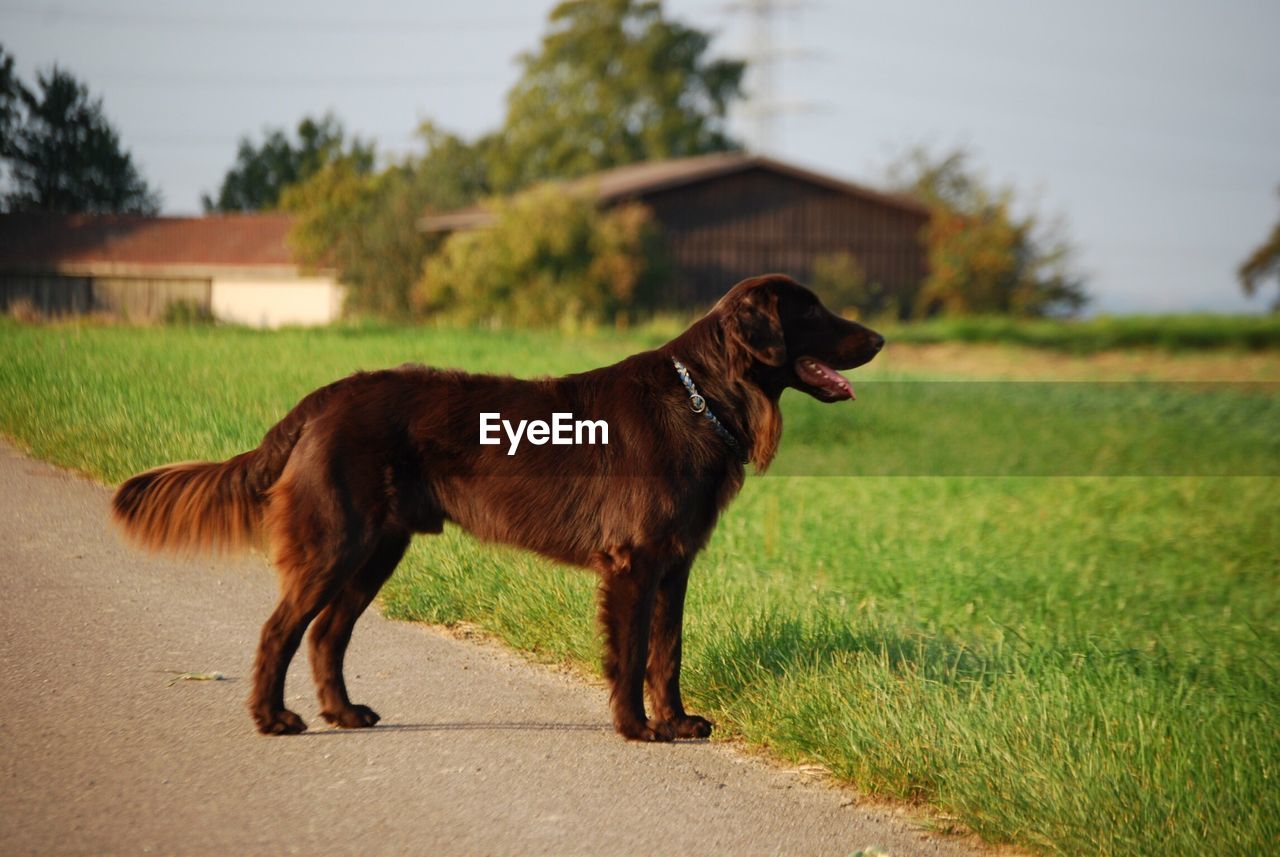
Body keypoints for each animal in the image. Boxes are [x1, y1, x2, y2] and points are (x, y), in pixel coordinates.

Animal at [115, 277, 885, 746]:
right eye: (810, 310)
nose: (879, 339)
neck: (702, 397)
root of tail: (321, 399)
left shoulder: (674, 565)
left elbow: (667, 653)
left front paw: (676, 722)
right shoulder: (634, 563)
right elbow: (633, 653)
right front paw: (636, 728)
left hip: (379, 546)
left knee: (327, 633)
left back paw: (344, 712)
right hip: (337, 540)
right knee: (281, 629)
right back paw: (275, 717)